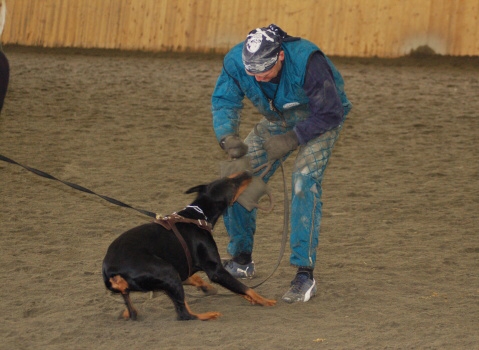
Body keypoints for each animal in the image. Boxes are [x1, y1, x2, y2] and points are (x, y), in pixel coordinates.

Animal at [103, 171, 276, 322]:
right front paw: (264, 300)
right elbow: (244, 286)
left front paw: (208, 288)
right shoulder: (215, 270)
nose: (247, 172)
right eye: (232, 183)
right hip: (167, 271)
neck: (197, 217)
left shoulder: (182, 267)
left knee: (134, 310)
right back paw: (208, 315)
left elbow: (202, 279)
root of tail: (111, 271)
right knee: (184, 314)